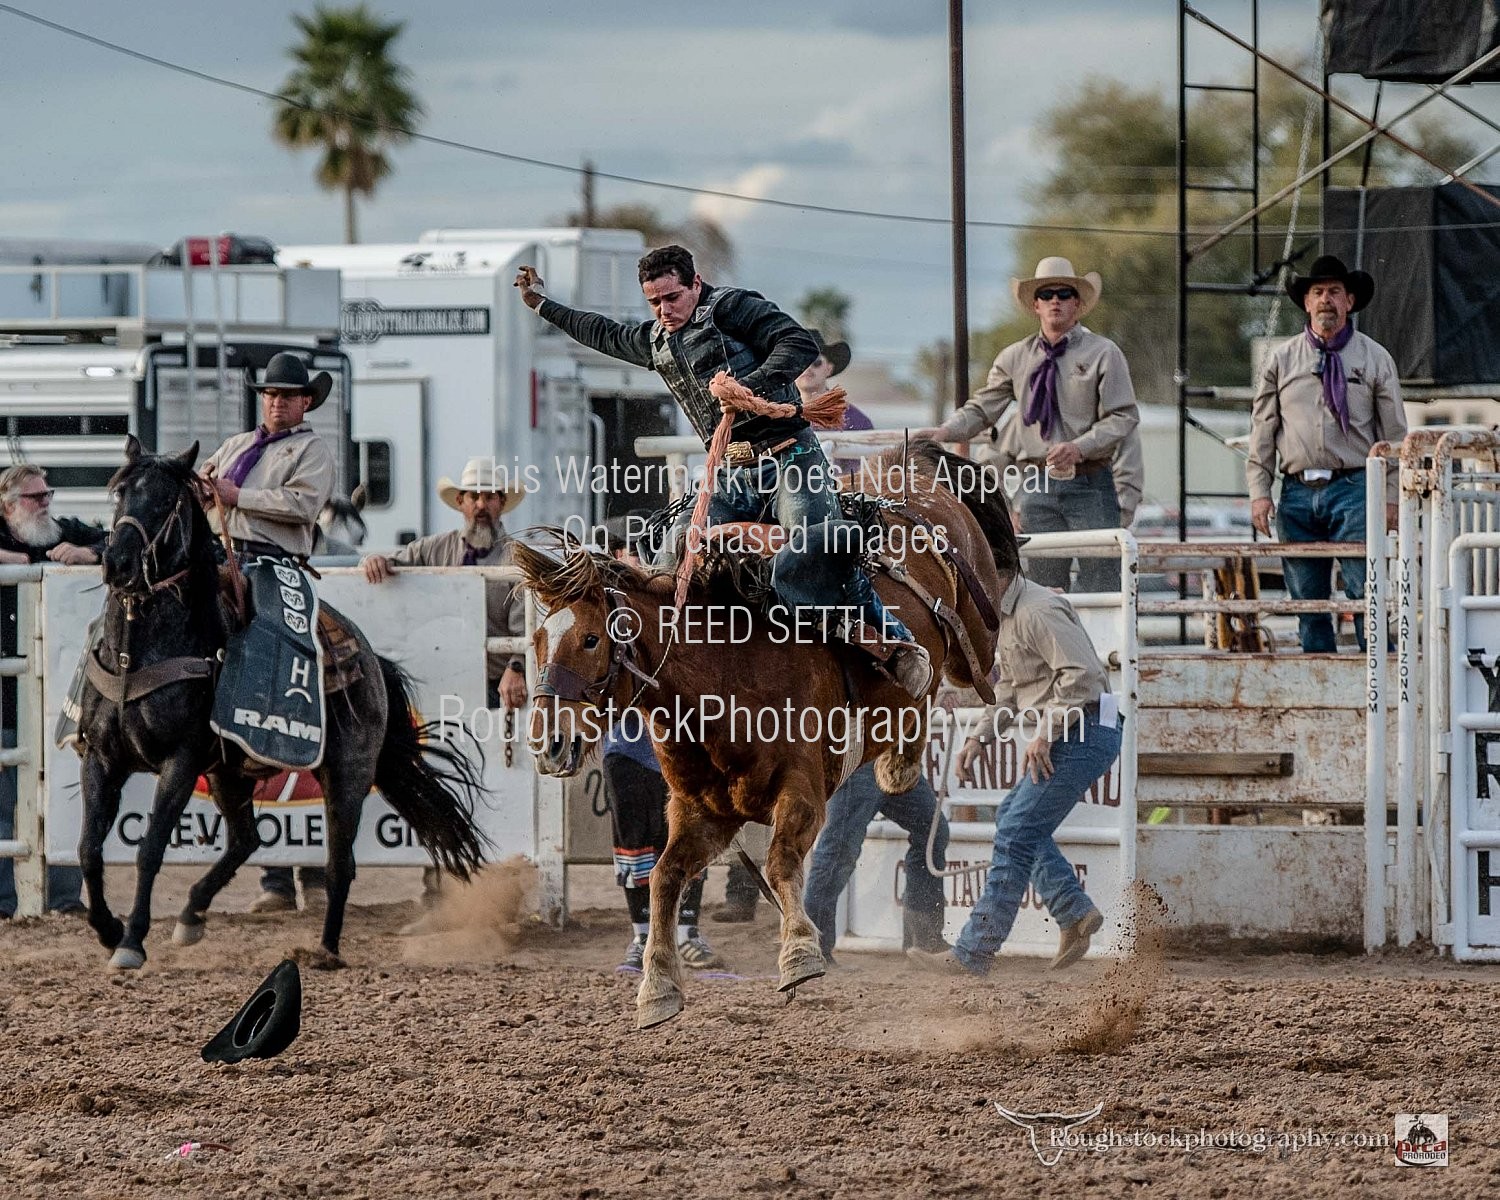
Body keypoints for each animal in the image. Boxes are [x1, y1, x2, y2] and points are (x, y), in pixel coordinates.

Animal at [79, 435, 483, 972]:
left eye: (166, 502)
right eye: (120, 492)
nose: (117, 564)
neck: (137, 655)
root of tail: (371, 660)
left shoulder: (179, 761)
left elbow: (149, 848)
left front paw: (131, 941)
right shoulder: (101, 757)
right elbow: (88, 848)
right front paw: (107, 930)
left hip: (348, 774)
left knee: (338, 864)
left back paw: (325, 949)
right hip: (229, 773)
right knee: (247, 838)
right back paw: (191, 915)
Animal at [516, 444, 1020, 1026]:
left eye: (592, 639)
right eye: (537, 641)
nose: (549, 744)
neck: (724, 677)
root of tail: (904, 462)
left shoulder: (801, 792)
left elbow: (780, 862)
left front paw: (800, 954)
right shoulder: (701, 812)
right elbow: (664, 877)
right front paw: (656, 987)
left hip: (974, 632)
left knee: (961, 667)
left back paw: (911, 706)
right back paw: (898, 761)